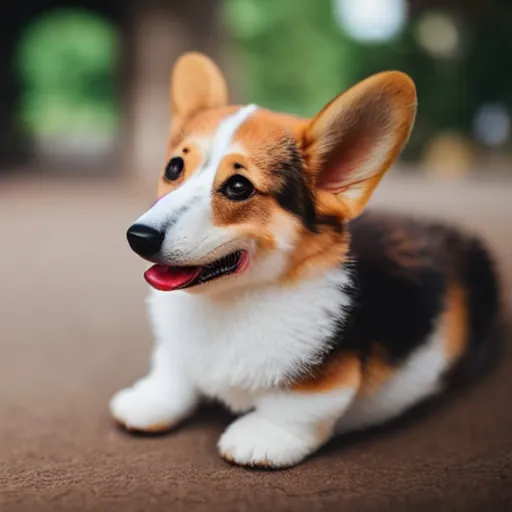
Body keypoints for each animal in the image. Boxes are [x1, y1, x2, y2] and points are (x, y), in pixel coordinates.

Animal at [109, 52, 500, 468]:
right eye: (173, 168)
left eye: (238, 186)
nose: (139, 237)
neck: (230, 302)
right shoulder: (175, 349)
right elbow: (172, 368)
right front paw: (148, 400)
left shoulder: (322, 384)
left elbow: (297, 408)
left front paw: (260, 437)